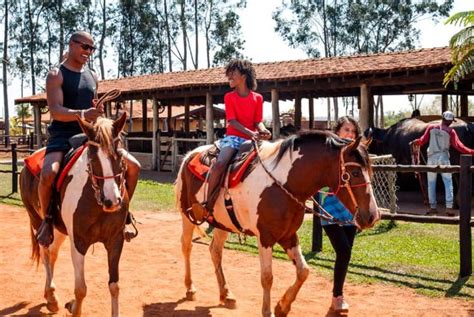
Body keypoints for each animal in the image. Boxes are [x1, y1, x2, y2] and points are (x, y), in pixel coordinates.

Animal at [20, 113, 128, 316]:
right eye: (92, 157)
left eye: (119, 154)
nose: (111, 201)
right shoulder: (78, 242)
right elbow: (81, 289)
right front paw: (73, 306)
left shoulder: (115, 240)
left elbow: (114, 286)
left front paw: (71, 305)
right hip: (38, 221)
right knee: (46, 253)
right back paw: (51, 297)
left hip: (60, 230)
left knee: (52, 254)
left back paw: (51, 297)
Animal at [175, 130, 382, 314]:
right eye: (354, 172)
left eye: (370, 171)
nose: (373, 216)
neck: (283, 184)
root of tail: (189, 156)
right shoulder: (266, 237)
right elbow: (267, 277)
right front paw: (268, 311)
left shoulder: (288, 235)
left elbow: (304, 271)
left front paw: (282, 306)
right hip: (187, 216)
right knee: (186, 246)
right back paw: (190, 288)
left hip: (222, 223)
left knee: (215, 251)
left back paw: (226, 295)